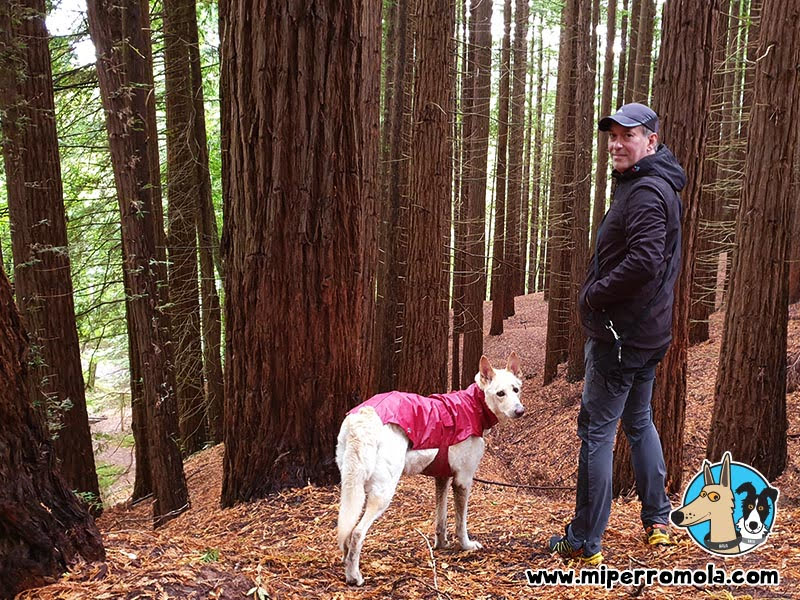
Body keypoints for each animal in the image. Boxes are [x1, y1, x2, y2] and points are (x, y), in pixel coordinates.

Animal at [332, 354, 524, 584]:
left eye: (516, 389)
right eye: (500, 393)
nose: (520, 411)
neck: (473, 405)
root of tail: (365, 415)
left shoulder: (442, 478)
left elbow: (440, 520)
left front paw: (441, 545)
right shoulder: (463, 481)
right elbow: (461, 523)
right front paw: (466, 546)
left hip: (351, 487)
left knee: (346, 531)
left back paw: (346, 566)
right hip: (382, 493)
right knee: (357, 533)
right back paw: (354, 576)